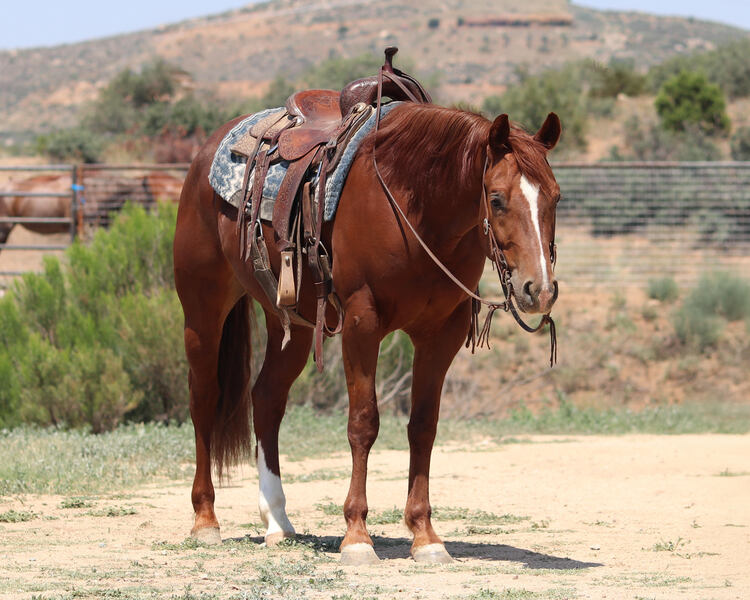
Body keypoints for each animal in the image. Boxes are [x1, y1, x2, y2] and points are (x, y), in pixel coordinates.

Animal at [173, 102, 561, 564]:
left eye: (556, 197)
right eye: (497, 199)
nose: (539, 289)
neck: (415, 210)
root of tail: (207, 151)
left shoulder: (440, 334)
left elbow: (423, 426)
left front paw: (425, 535)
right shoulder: (362, 323)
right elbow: (363, 423)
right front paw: (357, 535)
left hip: (293, 325)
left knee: (266, 398)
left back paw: (277, 521)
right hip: (202, 310)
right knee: (203, 400)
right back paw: (204, 519)